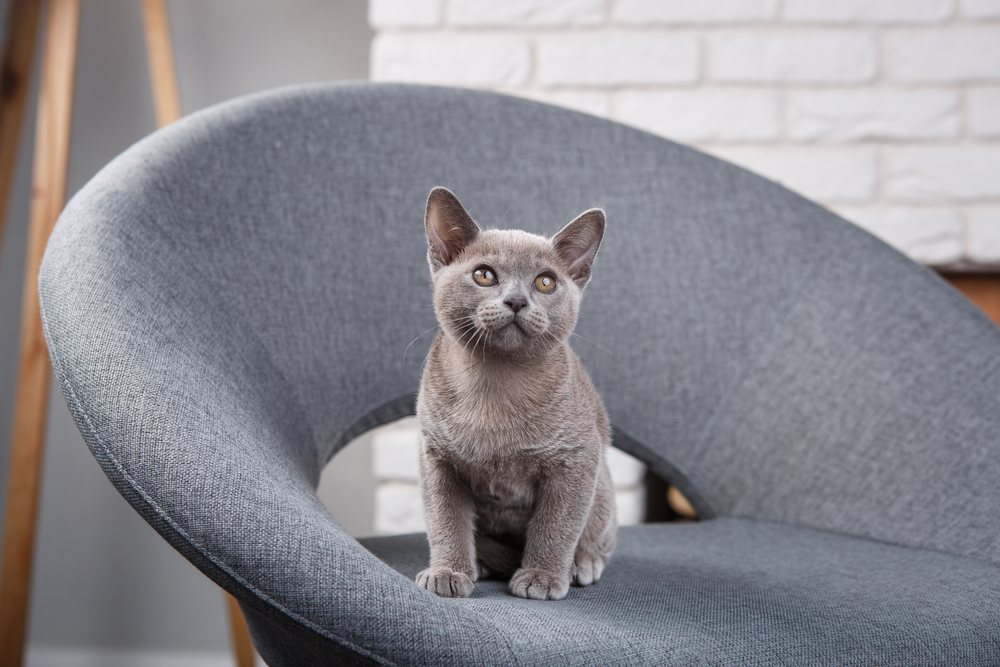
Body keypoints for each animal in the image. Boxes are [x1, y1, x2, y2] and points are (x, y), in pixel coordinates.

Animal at [412, 185, 612, 604]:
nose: (517, 301)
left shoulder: (577, 459)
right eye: (484, 275)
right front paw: (448, 572)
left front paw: (542, 576)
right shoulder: (435, 457)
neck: (495, 387)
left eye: (545, 282)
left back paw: (581, 564)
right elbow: (445, 520)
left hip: (603, 484)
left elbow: (556, 524)